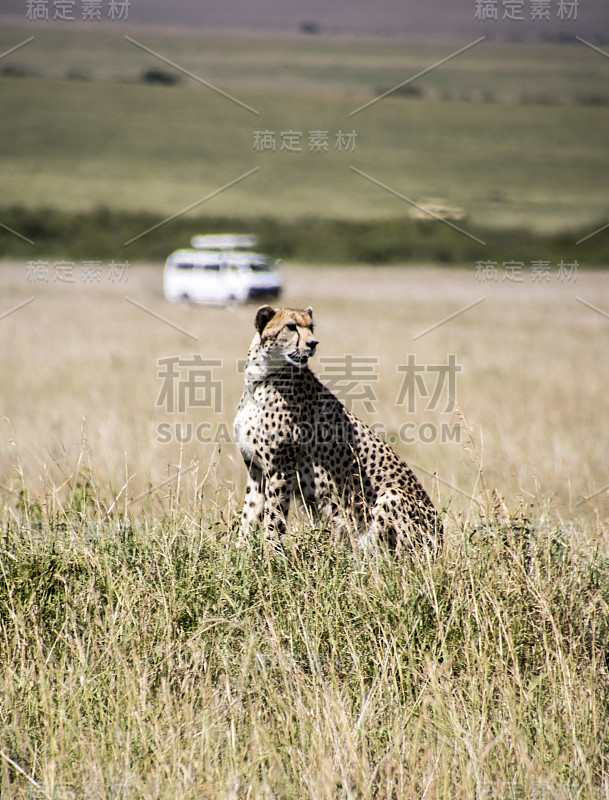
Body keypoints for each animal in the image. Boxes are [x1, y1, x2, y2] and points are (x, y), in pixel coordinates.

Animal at [234, 304, 442, 552]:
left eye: (311, 327)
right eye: (291, 326)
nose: (313, 343)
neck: (259, 379)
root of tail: (441, 537)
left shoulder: (281, 468)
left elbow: (274, 519)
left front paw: (271, 555)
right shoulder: (257, 469)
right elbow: (249, 515)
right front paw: (239, 553)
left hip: (393, 496)